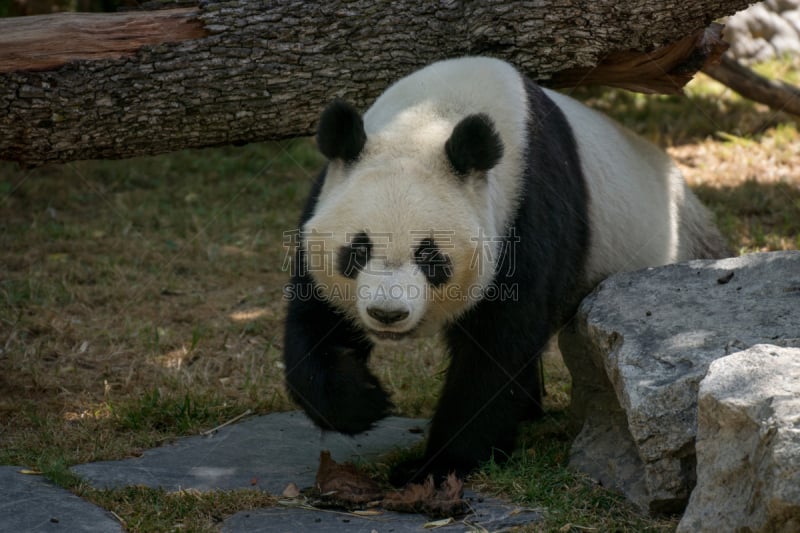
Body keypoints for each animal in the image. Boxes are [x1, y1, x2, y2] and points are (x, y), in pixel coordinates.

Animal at [282, 55, 732, 482]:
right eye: (357, 251)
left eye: (430, 257)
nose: (387, 314)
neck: (433, 114)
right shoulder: (325, 199)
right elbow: (315, 318)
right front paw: (362, 398)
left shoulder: (527, 209)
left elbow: (500, 342)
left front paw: (437, 466)